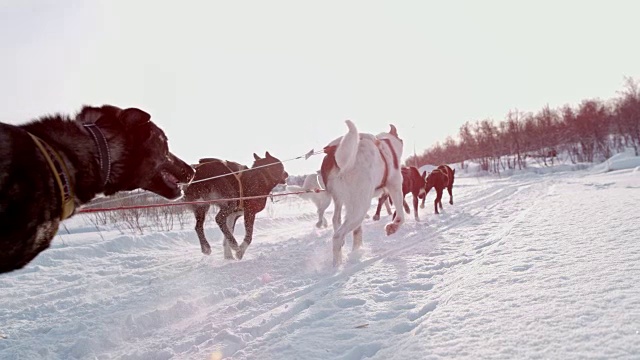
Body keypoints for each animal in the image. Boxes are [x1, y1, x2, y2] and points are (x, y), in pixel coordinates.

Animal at [320, 120, 404, 264]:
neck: (386, 145)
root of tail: (335, 157)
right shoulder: (395, 185)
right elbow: (401, 216)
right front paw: (393, 226)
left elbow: (357, 233)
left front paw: (356, 250)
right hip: (360, 208)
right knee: (337, 237)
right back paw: (337, 265)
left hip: (342, 201)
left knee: (336, 219)